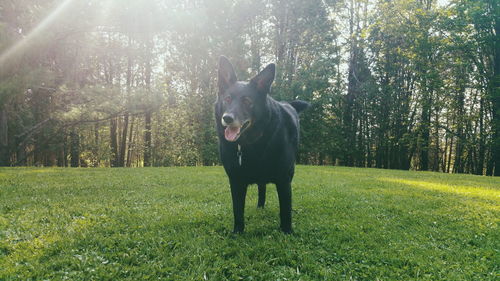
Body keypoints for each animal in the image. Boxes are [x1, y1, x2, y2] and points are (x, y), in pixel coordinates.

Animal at [215, 55, 308, 233]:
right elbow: (238, 210)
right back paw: (260, 206)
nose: (227, 118)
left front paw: (287, 231)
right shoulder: (235, 180)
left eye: (247, 101)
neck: (250, 144)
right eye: (227, 99)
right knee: (261, 187)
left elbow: (285, 209)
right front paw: (237, 232)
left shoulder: (284, 179)